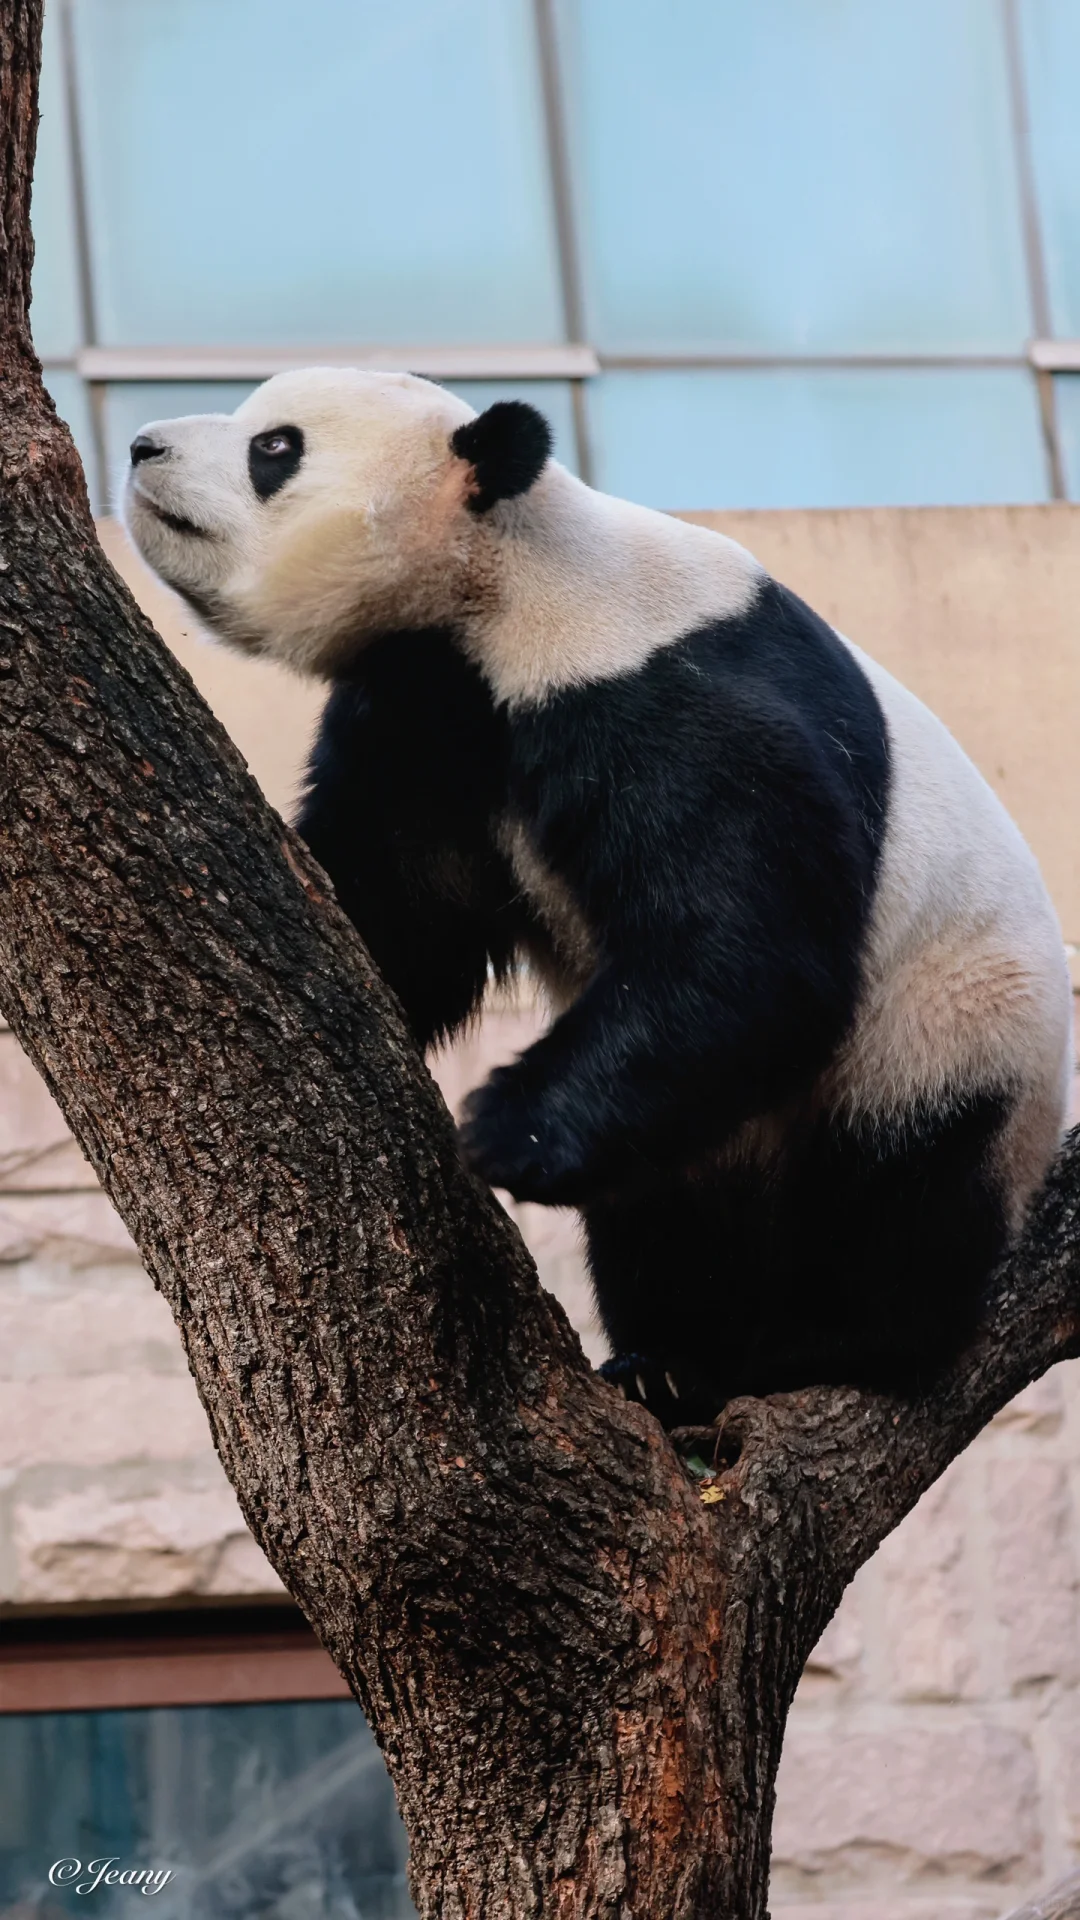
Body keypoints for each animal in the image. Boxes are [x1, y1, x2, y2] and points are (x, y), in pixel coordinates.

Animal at [123, 370, 1068, 1428]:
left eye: (274, 448)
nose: (143, 447)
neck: (507, 583)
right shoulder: (428, 712)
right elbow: (403, 912)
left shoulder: (650, 691)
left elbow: (745, 949)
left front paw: (500, 1131)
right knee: (661, 1218)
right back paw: (670, 1361)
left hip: (954, 1024)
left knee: (904, 1187)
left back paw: (828, 1344)